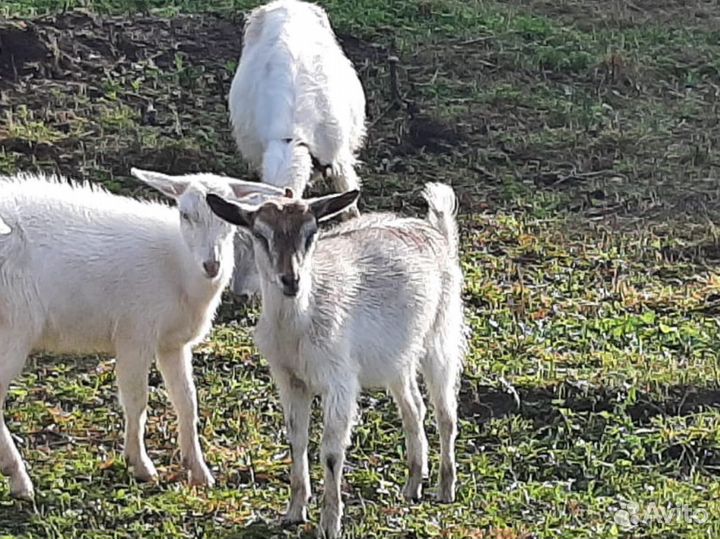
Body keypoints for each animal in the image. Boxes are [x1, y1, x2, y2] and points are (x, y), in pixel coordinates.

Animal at [0, 170, 283, 499]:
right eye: (185, 214)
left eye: (225, 219)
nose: (212, 265)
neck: (177, 265)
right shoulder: (134, 333)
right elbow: (137, 401)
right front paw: (140, 464)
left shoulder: (172, 344)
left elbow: (187, 402)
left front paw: (199, 470)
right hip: (15, 325)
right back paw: (19, 478)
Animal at [207, 184, 466, 539]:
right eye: (260, 234)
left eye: (311, 232)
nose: (291, 280)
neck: (301, 320)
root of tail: (437, 233)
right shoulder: (290, 381)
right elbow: (297, 440)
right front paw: (294, 512)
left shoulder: (339, 382)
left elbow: (330, 452)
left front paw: (329, 523)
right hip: (396, 358)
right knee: (414, 408)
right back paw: (412, 485)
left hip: (440, 338)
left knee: (445, 413)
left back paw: (445, 488)